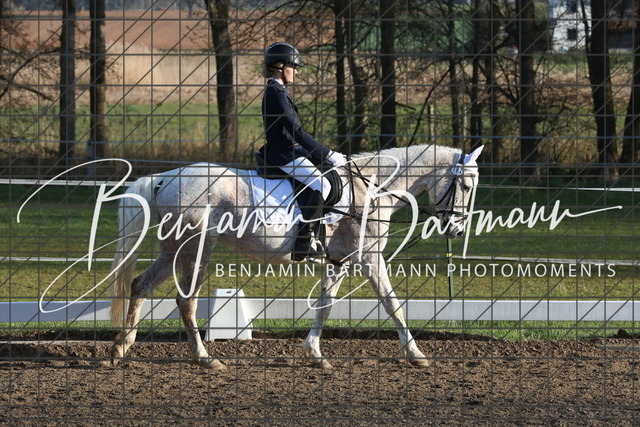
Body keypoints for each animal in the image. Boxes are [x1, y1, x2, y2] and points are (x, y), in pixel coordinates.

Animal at [107, 143, 483, 369]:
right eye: (466, 187)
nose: (456, 230)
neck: (371, 189)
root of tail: (166, 177)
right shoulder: (369, 258)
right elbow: (392, 304)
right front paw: (416, 355)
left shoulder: (338, 261)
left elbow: (325, 305)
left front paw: (315, 354)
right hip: (196, 247)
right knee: (185, 300)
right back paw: (204, 358)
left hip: (173, 248)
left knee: (140, 285)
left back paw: (120, 349)